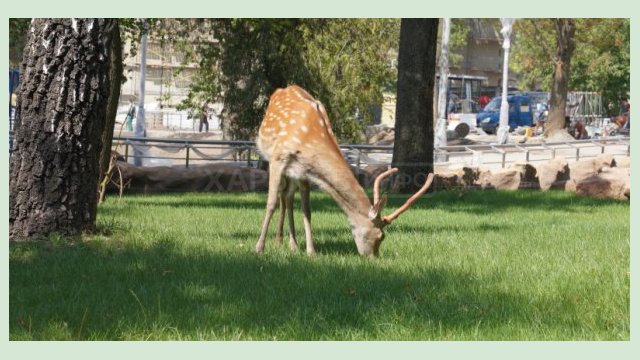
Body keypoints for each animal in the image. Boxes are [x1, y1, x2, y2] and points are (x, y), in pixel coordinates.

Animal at [252, 86, 432, 258]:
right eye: (381, 236)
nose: (374, 257)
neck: (308, 141)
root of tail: (282, 89)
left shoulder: (304, 171)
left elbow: (306, 210)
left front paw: (311, 251)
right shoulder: (278, 158)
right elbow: (271, 204)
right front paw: (259, 248)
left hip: (293, 173)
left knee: (287, 196)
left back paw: (289, 243)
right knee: (282, 195)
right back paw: (278, 241)